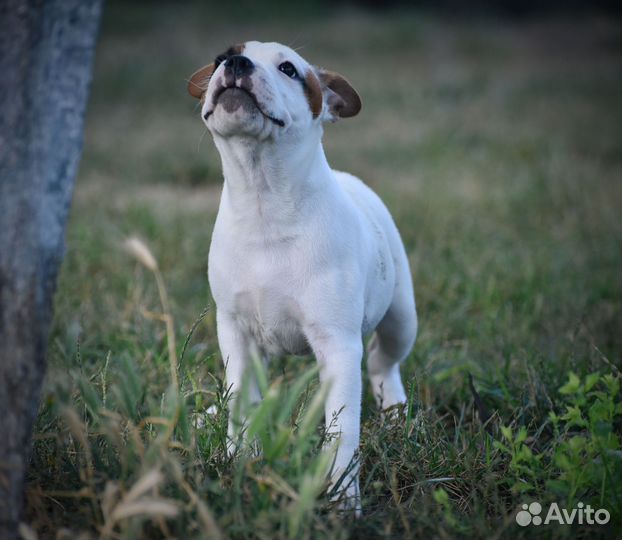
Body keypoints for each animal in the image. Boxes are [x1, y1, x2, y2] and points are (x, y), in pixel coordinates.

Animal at [186, 40, 420, 512]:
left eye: (289, 69)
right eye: (222, 57)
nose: (234, 63)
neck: (263, 201)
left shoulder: (338, 346)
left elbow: (342, 431)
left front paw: (343, 499)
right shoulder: (235, 333)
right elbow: (241, 402)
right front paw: (239, 458)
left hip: (402, 318)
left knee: (384, 361)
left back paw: (394, 415)